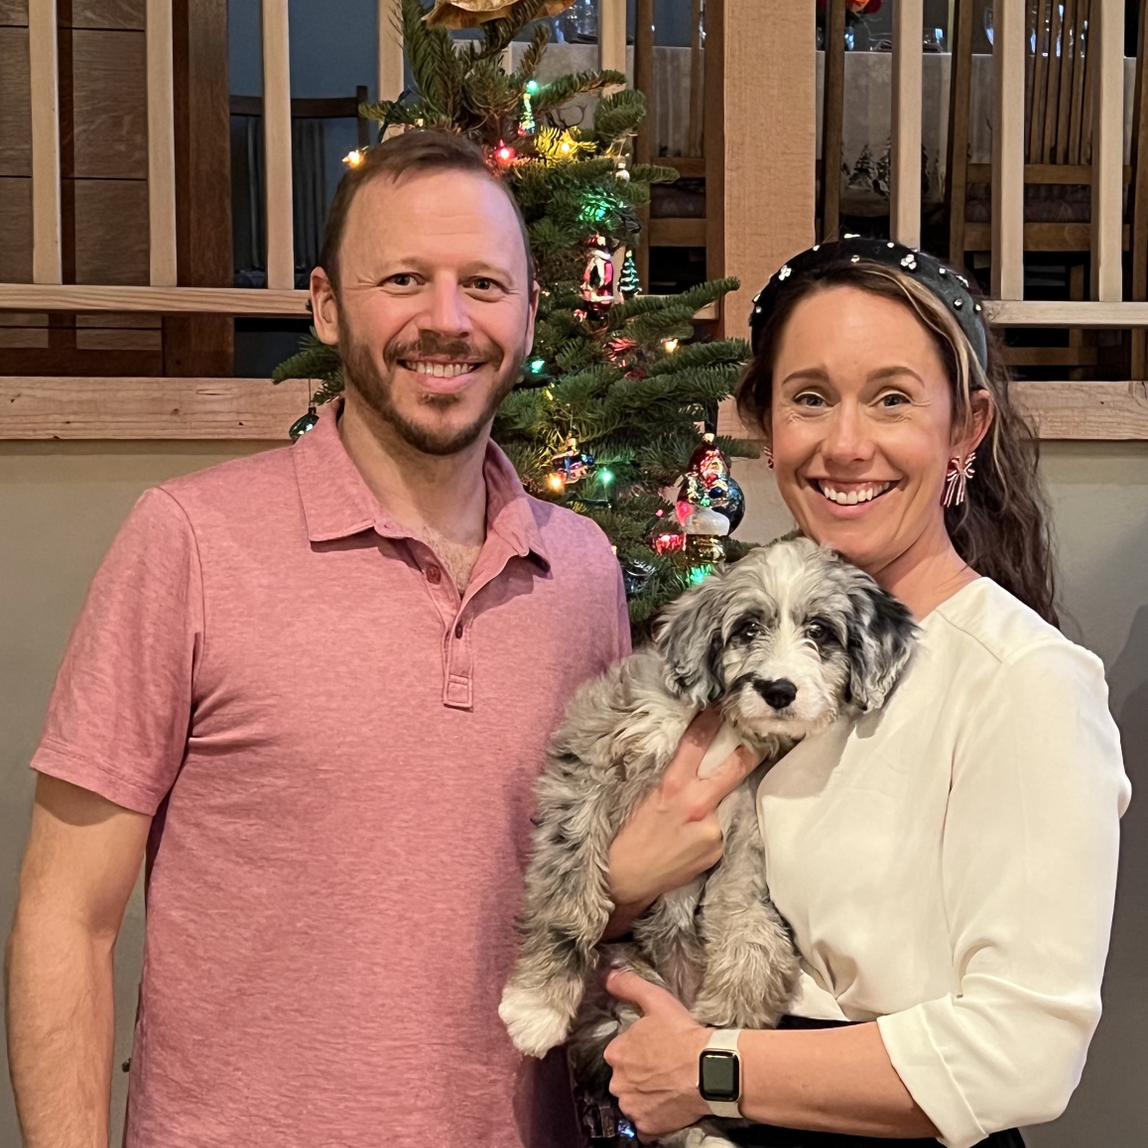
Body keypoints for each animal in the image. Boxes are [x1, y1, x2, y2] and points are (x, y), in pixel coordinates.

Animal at [499, 534, 917, 1147]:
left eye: (821, 632)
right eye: (747, 628)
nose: (778, 690)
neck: (725, 725)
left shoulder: (746, 827)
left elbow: (748, 920)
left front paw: (730, 1015)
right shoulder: (589, 768)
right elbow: (570, 887)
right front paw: (537, 1005)